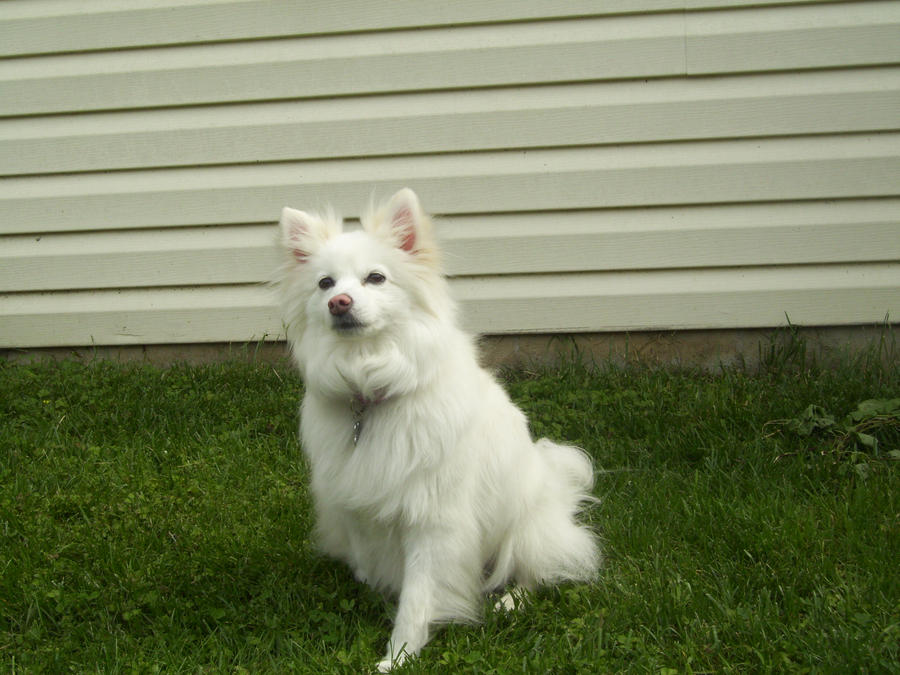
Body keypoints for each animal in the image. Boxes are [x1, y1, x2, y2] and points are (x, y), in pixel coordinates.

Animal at [274, 189, 596, 672]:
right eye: (324, 284)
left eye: (375, 278)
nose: (339, 303)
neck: (371, 390)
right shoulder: (357, 504)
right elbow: (372, 562)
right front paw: (375, 592)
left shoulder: (434, 521)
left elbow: (419, 595)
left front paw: (399, 654)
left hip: (528, 528)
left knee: (534, 571)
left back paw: (509, 601)